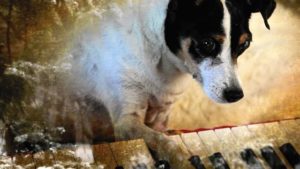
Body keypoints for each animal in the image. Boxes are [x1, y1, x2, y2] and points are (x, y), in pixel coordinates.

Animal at [63, 0, 276, 168]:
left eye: (244, 44)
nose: (235, 95)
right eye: (207, 43)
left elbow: (164, 135)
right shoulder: (126, 121)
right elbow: (166, 142)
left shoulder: (160, 117)